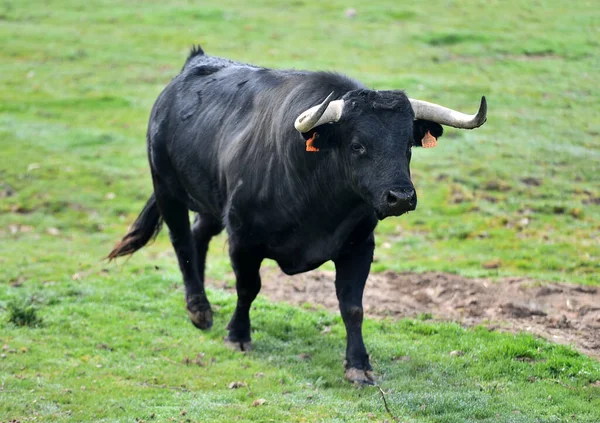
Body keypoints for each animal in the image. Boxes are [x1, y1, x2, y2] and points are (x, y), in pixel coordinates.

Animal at [109, 45, 488, 384]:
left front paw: (359, 365)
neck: (319, 202)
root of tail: (192, 66)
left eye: (407, 145)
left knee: (199, 234)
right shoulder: (243, 239)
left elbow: (353, 307)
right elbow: (248, 287)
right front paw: (238, 335)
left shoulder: (359, 246)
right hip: (167, 187)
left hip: (212, 202)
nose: (401, 197)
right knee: (182, 241)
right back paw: (199, 309)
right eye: (358, 145)